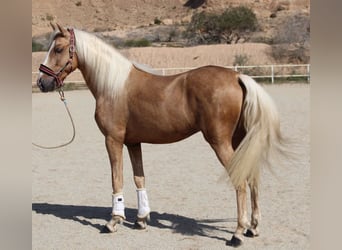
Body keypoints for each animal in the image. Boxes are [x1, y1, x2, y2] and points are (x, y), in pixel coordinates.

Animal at [36, 24, 288, 247]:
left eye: (58, 49)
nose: (41, 82)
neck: (113, 86)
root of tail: (236, 77)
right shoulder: (133, 142)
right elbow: (139, 178)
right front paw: (141, 219)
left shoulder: (113, 140)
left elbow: (117, 178)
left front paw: (113, 221)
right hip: (240, 140)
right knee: (252, 176)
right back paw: (253, 227)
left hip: (220, 142)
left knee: (241, 181)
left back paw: (237, 234)